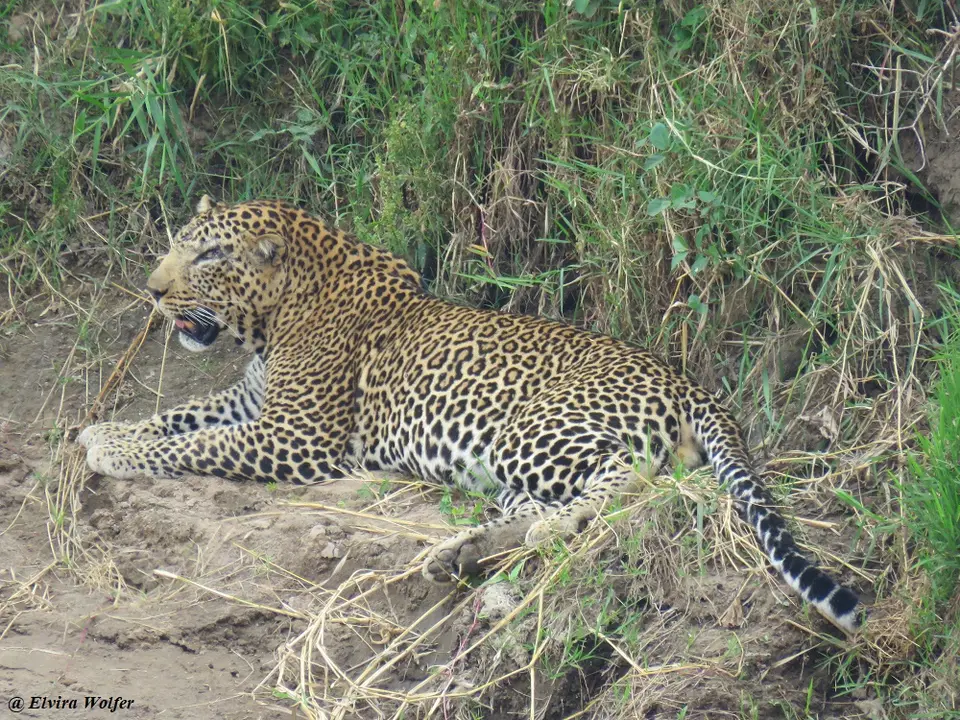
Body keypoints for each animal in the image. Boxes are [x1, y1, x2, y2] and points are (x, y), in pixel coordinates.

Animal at [79, 196, 863, 633]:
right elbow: (181, 417)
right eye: (176, 246)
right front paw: (103, 429)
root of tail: (687, 380)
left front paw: (110, 449)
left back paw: (533, 533)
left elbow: (192, 446)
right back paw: (466, 552)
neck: (277, 315)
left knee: (628, 479)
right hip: (507, 464)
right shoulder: (250, 403)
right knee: (537, 507)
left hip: (532, 432)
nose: (153, 291)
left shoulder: (293, 435)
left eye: (208, 256)